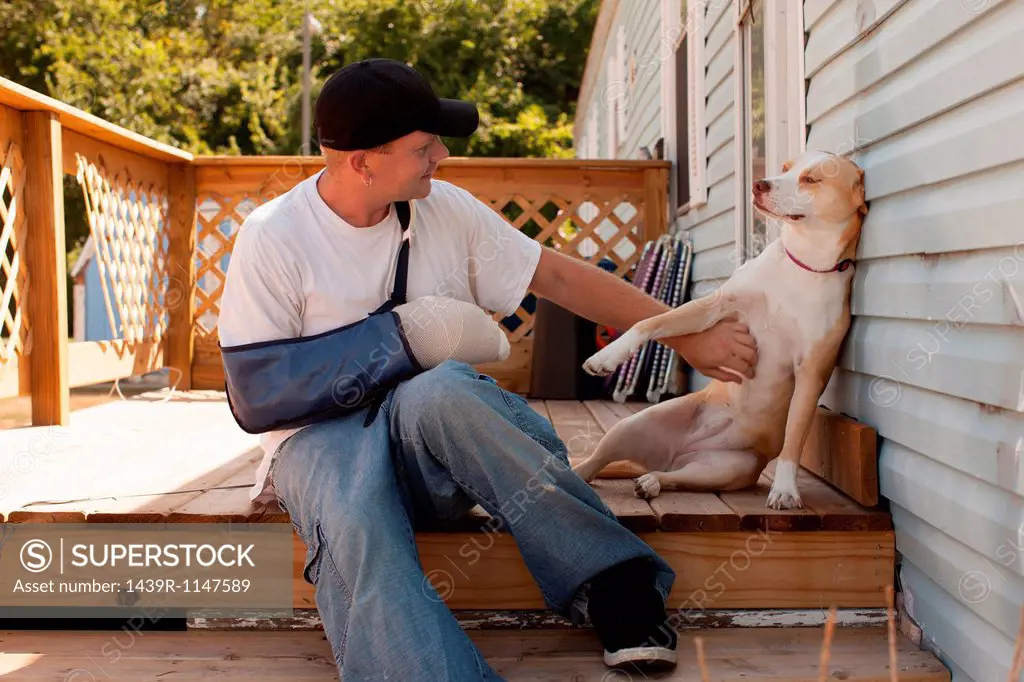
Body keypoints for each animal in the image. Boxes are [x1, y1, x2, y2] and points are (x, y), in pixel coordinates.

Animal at [573, 150, 868, 509]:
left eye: (811, 179)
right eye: (785, 168)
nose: (759, 184)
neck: (801, 262)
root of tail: (674, 456)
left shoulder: (811, 373)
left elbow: (795, 437)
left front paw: (785, 488)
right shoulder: (714, 307)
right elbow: (651, 322)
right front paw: (607, 357)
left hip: (724, 468)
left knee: (673, 478)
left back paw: (652, 482)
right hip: (632, 425)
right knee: (594, 463)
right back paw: (579, 472)